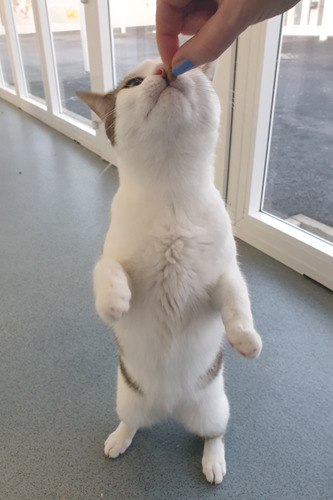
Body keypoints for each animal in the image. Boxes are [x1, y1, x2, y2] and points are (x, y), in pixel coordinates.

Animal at [76, 58, 260, 484]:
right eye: (133, 83)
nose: (164, 67)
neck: (171, 193)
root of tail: (169, 407)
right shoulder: (114, 252)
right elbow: (106, 269)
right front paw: (114, 302)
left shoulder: (223, 273)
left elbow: (236, 296)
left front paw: (245, 338)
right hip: (127, 398)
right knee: (132, 423)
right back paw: (119, 439)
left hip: (214, 406)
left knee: (214, 434)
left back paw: (213, 461)